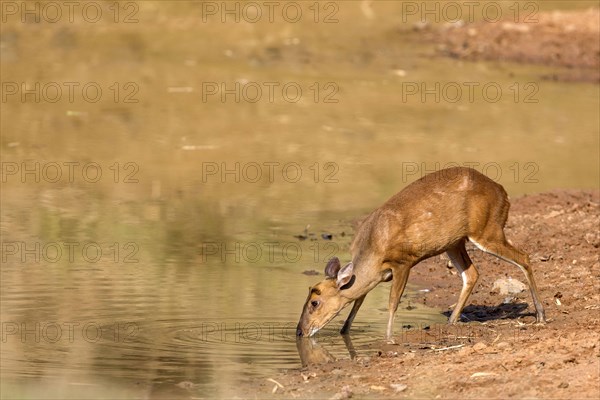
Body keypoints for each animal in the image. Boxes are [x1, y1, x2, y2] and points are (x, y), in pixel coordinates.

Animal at [298, 166, 548, 340]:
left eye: (314, 303)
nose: (299, 331)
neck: (373, 251)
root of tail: (504, 194)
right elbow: (358, 301)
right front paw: (344, 331)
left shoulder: (403, 262)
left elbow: (392, 302)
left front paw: (388, 338)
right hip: (454, 243)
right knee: (472, 274)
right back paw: (451, 322)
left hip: (487, 230)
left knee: (523, 257)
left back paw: (541, 314)